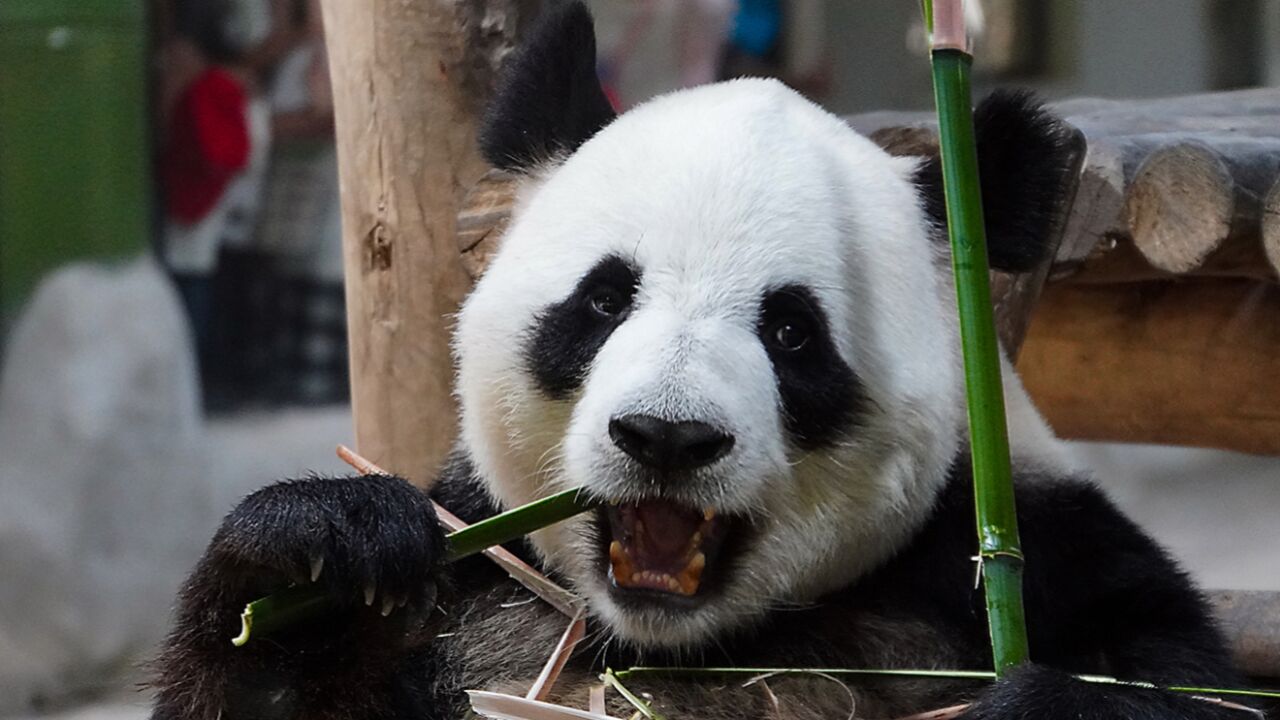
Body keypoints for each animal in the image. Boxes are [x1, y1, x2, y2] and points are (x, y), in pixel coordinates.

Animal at [149, 5, 1239, 717]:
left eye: (792, 333)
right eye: (603, 299)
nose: (665, 437)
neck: (674, 642)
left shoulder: (1016, 550)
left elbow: (1170, 676)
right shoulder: (482, 592)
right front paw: (319, 552)